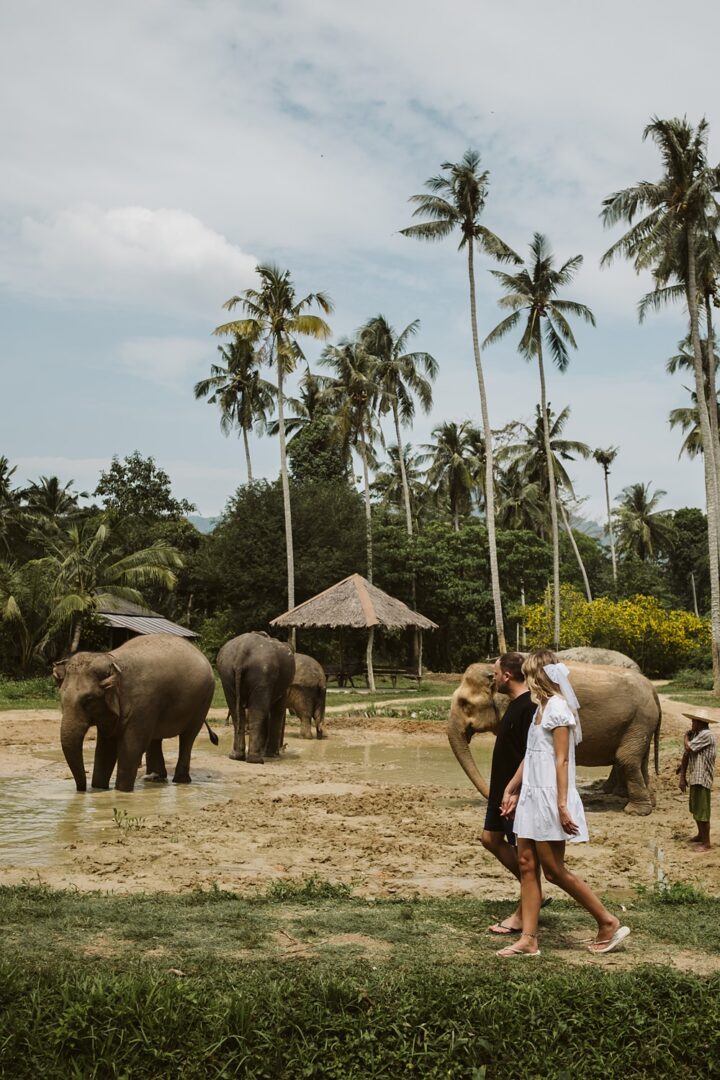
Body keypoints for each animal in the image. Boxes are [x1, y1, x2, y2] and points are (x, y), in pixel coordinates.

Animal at [54, 634, 216, 793]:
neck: (113, 662)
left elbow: (131, 747)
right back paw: (155, 778)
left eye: (89, 700)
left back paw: (180, 781)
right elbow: (105, 748)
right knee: (155, 737)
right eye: (61, 698)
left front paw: (122, 792)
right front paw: (99, 788)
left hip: (203, 700)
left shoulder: (143, 702)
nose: (82, 791)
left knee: (188, 737)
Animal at [217, 631, 296, 764]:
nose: (283, 747)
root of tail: (242, 651)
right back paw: (256, 759)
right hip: (262, 673)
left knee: (237, 711)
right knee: (258, 712)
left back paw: (236, 756)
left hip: (226, 674)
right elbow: (277, 709)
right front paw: (272, 755)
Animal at [447, 661, 662, 815]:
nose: (494, 801)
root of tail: (652, 688)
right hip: (639, 723)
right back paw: (647, 803)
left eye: (465, 703)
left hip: (639, 720)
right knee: (638, 760)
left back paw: (635, 811)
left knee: (626, 759)